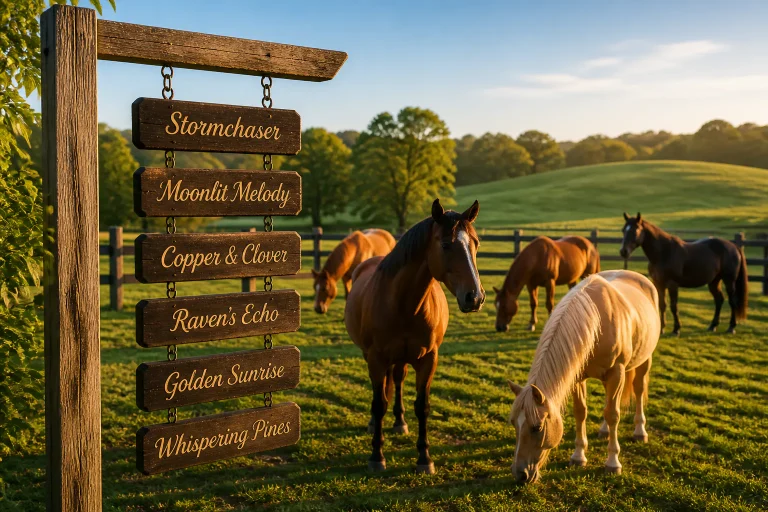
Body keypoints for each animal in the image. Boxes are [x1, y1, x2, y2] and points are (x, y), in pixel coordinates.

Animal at [344, 199, 485, 474]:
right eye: (446, 244)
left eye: (475, 243)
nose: (474, 297)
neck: (404, 304)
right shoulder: (376, 359)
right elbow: (379, 403)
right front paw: (377, 456)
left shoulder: (428, 359)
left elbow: (422, 406)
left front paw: (424, 458)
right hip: (372, 355)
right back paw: (375, 423)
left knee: (397, 380)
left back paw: (399, 422)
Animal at [507, 270, 660, 484]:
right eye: (514, 423)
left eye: (537, 427)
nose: (520, 474)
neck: (598, 323)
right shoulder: (579, 377)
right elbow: (581, 412)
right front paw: (578, 457)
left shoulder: (617, 372)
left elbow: (613, 415)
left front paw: (613, 463)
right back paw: (604, 431)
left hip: (644, 361)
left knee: (638, 391)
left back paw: (640, 432)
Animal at [619, 212, 747, 335]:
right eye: (623, 229)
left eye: (636, 230)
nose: (623, 251)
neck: (664, 253)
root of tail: (733, 246)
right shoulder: (659, 284)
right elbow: (662, 305)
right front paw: (662, 329)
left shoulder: (672, 285)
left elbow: (673, 306)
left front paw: (676, 329)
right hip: (714, 282)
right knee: (719, 300)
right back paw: (712, 326)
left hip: (729, 280)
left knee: (732, 301)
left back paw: (731, 327)